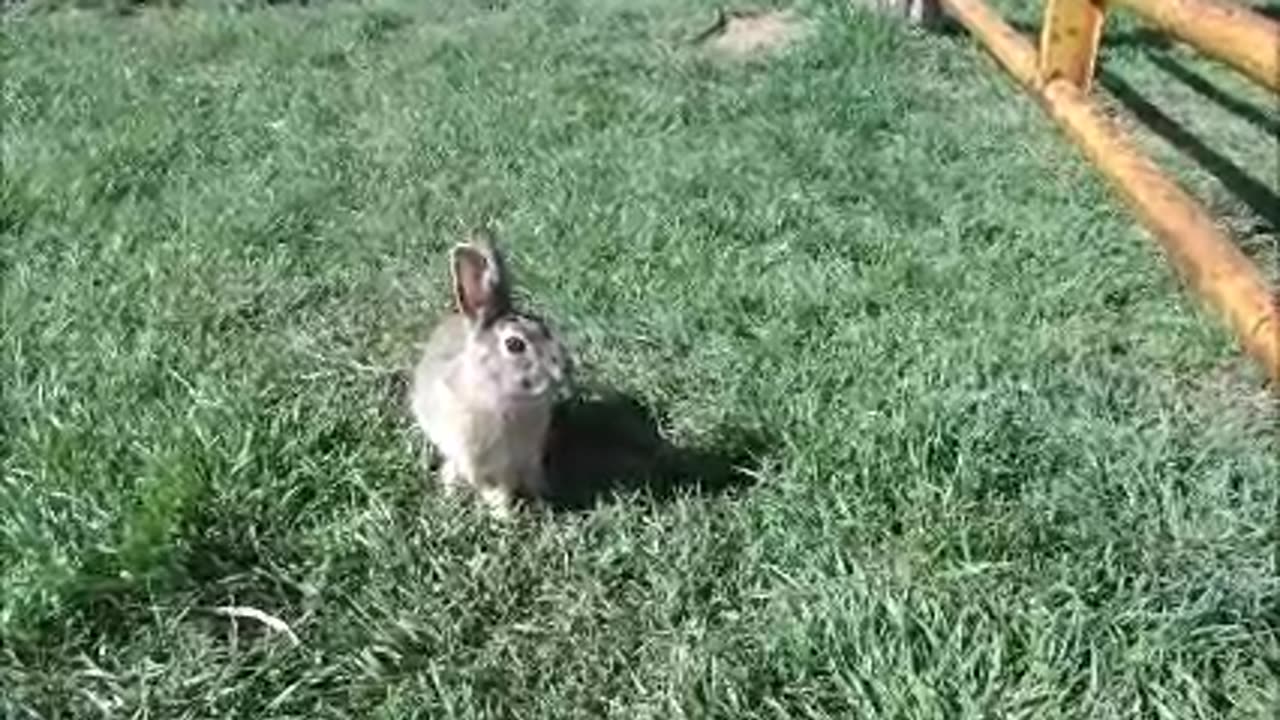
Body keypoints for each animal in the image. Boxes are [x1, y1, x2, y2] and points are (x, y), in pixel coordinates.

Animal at [409, 229, 570, 515]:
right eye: (515, 344)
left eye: (544, 327)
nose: (563, 369)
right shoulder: (478, 463)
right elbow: (494, 490)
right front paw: (504, 515)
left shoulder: (529, 458)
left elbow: (532, 480)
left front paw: (544, 500)